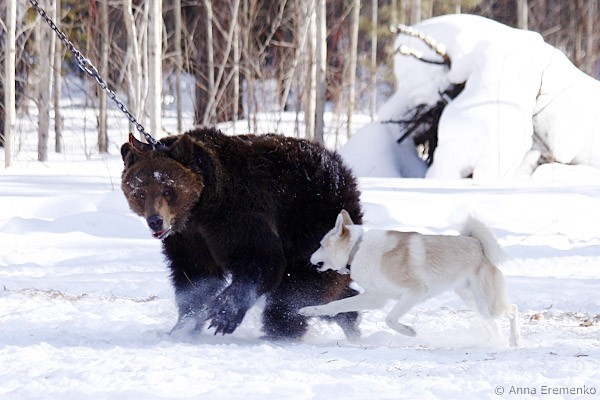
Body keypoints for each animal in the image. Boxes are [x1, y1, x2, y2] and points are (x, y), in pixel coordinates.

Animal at [120, 127, 363, 340]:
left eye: (168, 190)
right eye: (139, 192)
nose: (155, 221)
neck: (201, 207)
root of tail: (343, 171)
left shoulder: (238, 214)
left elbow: (260, 258)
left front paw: (222, 313)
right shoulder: (188, 238)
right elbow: (195, 275)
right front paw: (183, 326)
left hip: (311, 220)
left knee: (296, 290)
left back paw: (281, 331)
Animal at [299, 210, 521, 347]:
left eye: (321, 245)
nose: (309, 258)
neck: (358, 249)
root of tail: (479, 244)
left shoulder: (415, 292)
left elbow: (389, 319)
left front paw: (408, 332)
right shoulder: (375, 298)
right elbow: (335, 305)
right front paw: (308, 310)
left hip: (488, 305)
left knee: (513, 310)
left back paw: (514, 340)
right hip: (476, 303)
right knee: (494, 322)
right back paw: (497, 340)